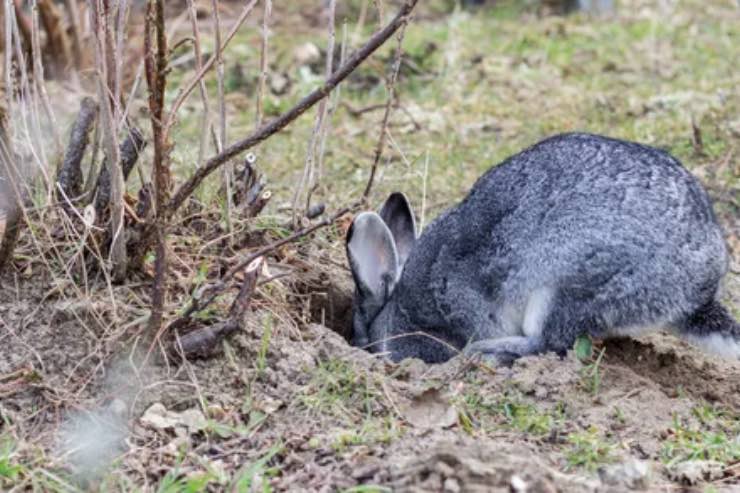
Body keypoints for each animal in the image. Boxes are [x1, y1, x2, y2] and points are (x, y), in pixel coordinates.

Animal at [346, 132, 739, 365]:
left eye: (361, 335)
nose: (361, 348)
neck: (394, 310)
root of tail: (696, 293)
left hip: (565, 281)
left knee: (548, 341)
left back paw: (487, 353)